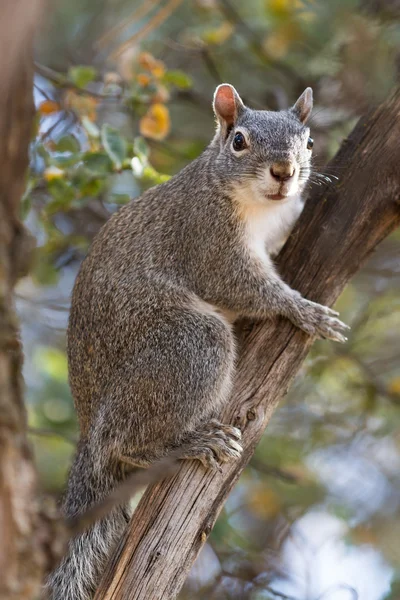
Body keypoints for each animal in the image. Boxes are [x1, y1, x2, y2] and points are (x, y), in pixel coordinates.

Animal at [46, 84, 346, 600]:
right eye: (239, 141)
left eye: (307, 142)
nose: (284, 172)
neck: (256, 206)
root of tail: (88, 422)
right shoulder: (206, 239)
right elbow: (242, 286)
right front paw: (304, 309)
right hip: (188, 346)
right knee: (124, 441)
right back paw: (189, 442)